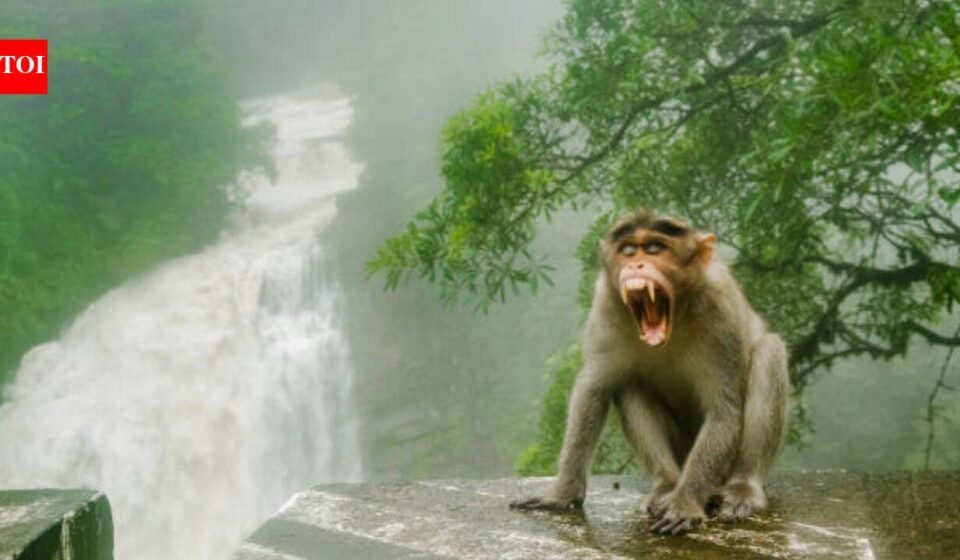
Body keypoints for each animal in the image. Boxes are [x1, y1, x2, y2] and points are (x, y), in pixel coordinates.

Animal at [511, 209, 789, 535]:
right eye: (628, 250)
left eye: (655, 249)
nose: (635, 264)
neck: (678, 316)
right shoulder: (605, 306)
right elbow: (593, 389)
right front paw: (562, 493)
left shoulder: (723, 315)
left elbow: (724, 411)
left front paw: (685, 503)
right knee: (627, 383)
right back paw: (665, 485)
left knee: (770, 352)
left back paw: (742, 488)